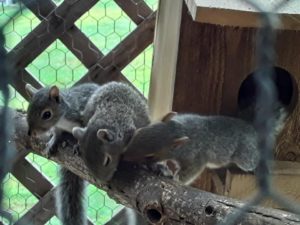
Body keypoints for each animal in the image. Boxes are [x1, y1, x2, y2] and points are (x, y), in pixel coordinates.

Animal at [25, 82, 99, 225]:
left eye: (47, 114)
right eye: (28, 110)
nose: (31, 133)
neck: (62, 120)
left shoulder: (83, 118)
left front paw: (79, 145)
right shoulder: (58, 128)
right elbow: (57, 135)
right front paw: (52, 143)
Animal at [122, 109, 286, 185]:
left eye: (150, 155)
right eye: (138, 132)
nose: (124, 157)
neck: (180, 129)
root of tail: (253, 129)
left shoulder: (196, 157)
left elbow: (191, 171)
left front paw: (175, 178)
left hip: (245, 156)